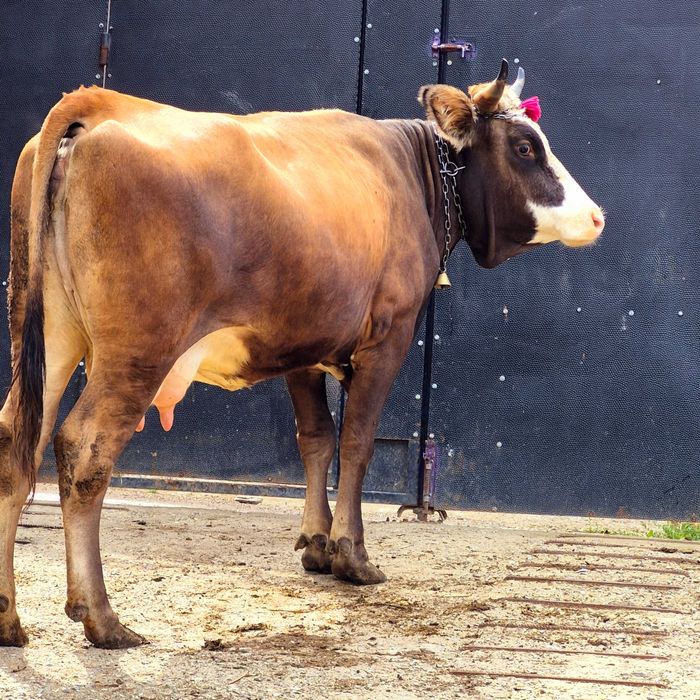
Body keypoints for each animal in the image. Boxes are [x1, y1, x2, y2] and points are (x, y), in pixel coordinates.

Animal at [0, 60, 604, 648]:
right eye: (525, 146)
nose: (597, 216)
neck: (410, 175)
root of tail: (97, 103)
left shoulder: (304, 346)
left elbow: (315, 438)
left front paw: (317, 542)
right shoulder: (389, 337)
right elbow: (356, 442)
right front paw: (352, 556)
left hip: (49, 337)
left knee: (15, 439)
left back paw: (8, 619)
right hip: (137, 350)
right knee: (84, 449)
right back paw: (101, 617)